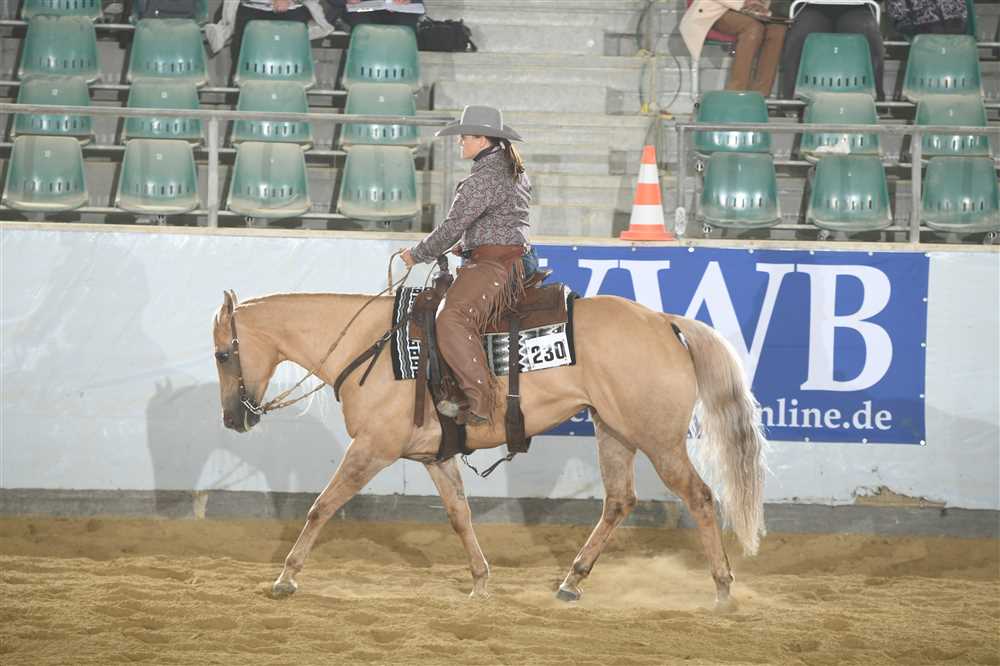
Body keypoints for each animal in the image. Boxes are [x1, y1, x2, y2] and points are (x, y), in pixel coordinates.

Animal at [211, 285, 767, 607]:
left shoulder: (370, 449)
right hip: (615, 432)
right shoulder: (432, 456)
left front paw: (286, 578)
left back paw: (722, 588)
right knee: (618, 501)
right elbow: (459, 514)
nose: (233, 419)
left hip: (659, 440)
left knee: (700, 498)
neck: (371, 346)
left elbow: (321, 507)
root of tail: (664, 322)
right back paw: (572, 580)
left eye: (222, 354)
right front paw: (480, 580)